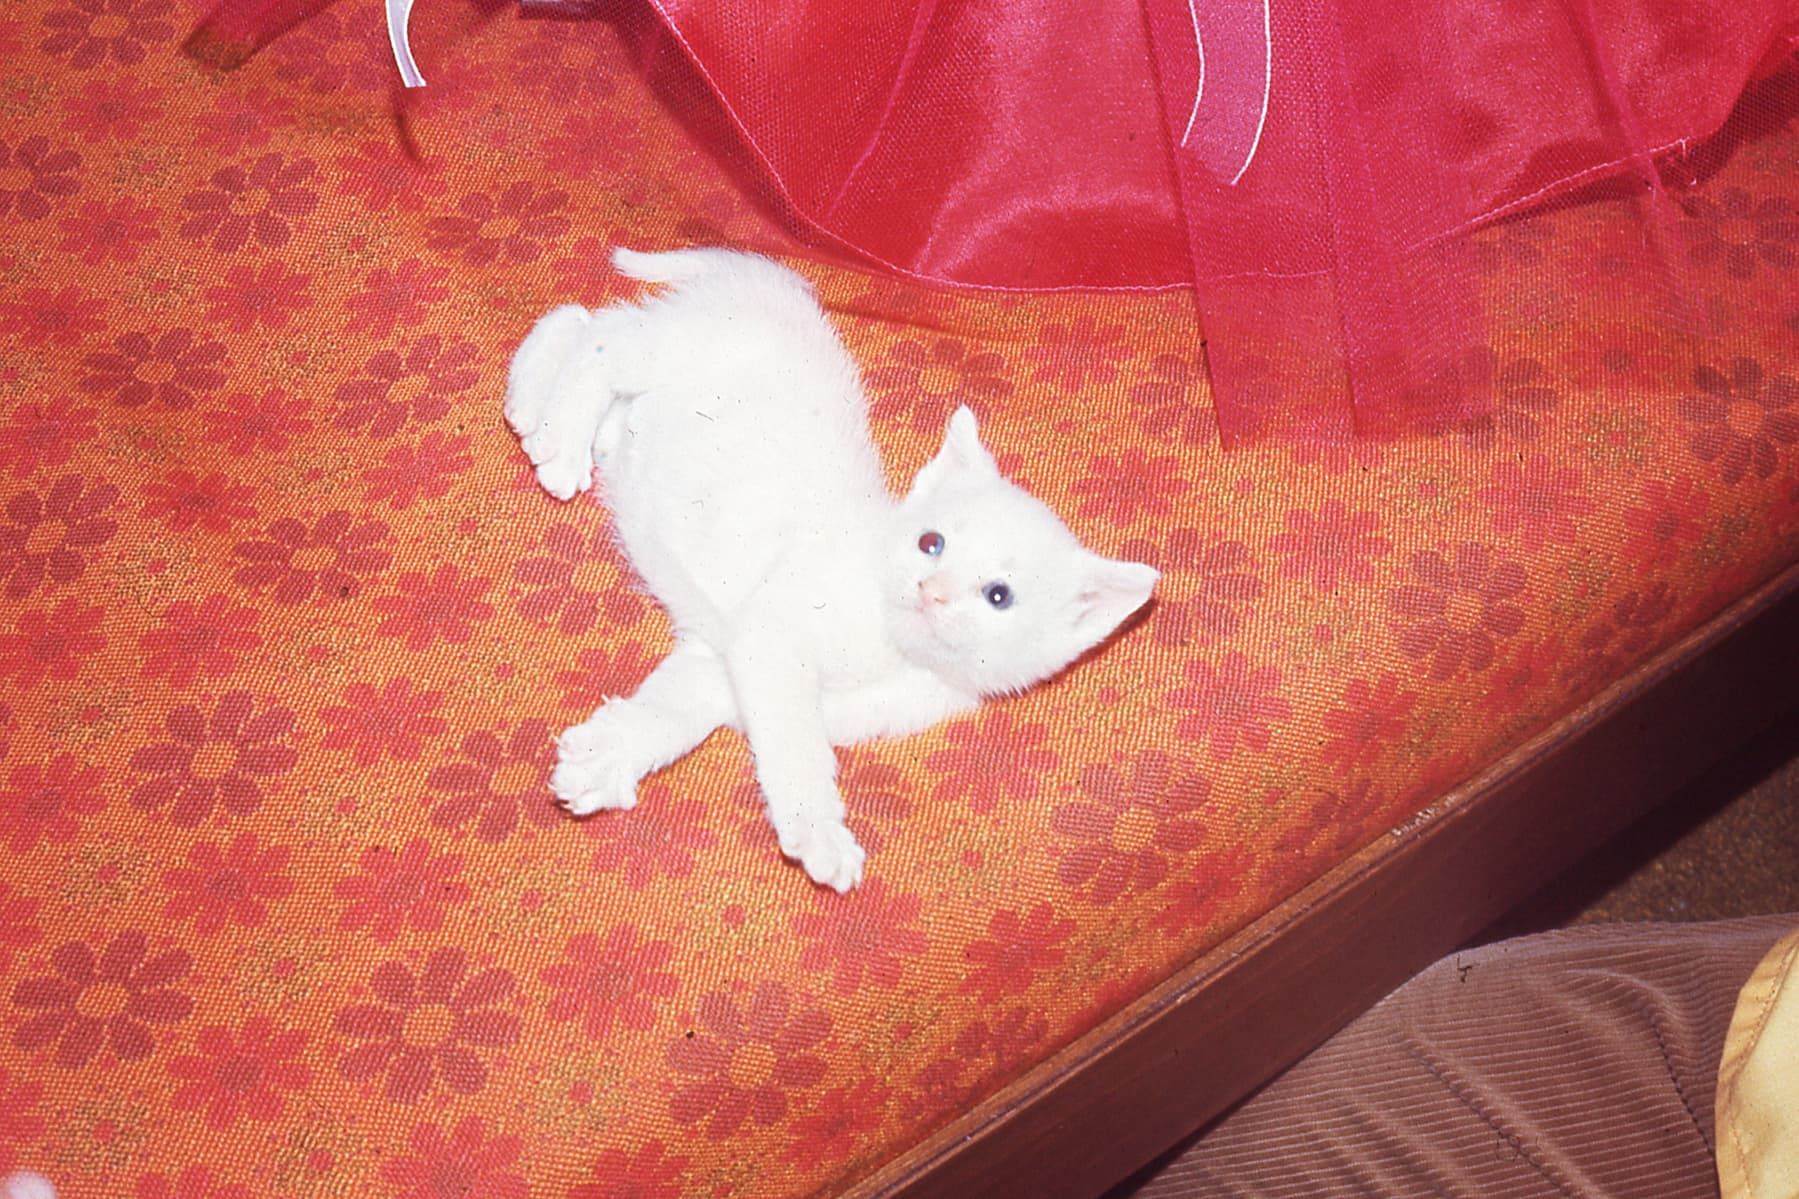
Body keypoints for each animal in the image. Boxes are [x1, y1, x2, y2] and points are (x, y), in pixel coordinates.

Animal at [503, 246, 1151, 885]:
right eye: (932, 543)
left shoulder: (725, 662)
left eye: (998, 595)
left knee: (584, 328)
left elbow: (680, 709)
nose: (931, 589)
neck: (892, 654)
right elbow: (798, 745)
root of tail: (769, 279)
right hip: (678, 347)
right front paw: (820, 831)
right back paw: (557, 435)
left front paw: (606, 756)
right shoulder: (772, 631)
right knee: (600, 339)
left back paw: (542, 408)